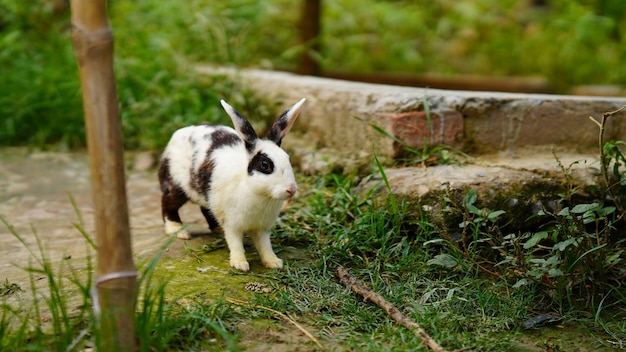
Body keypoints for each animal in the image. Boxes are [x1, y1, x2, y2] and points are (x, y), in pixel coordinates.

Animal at [155, 97, 302, 270]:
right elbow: (235, 242)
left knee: (206, 209)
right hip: (176, 187)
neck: (257, 192)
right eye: (265, 165)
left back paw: (217, 229)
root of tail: (177, 134)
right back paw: (178, 231)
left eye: (288, 158)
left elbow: (265, 245)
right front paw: (240, 264)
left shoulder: (262, 228)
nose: (291, 189)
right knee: (168, 205)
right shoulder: (233, 224)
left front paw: (274, 262)